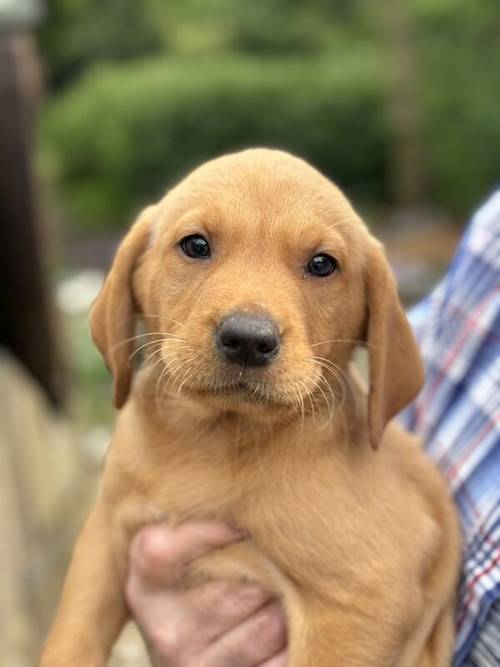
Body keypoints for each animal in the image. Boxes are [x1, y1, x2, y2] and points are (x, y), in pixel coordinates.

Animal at [40, 150, 460, 667]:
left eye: (322, 264)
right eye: (196, 245)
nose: (247, 339)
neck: (219, 439)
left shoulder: (365, 596)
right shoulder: (107, 529)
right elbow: (74, 630)